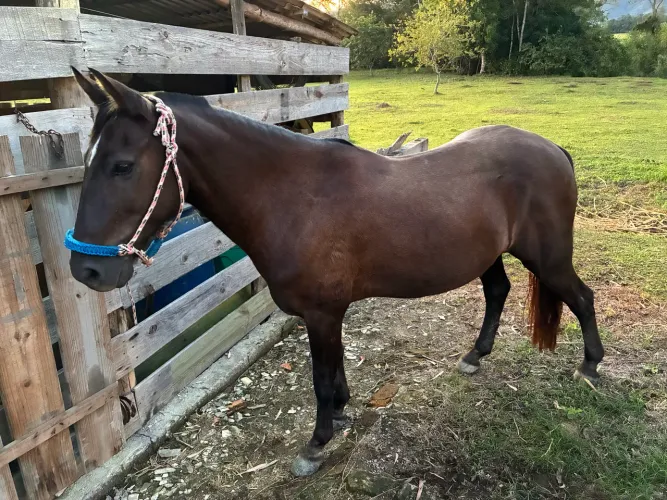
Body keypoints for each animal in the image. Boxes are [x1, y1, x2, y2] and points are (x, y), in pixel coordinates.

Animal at [66, 68, 604, 477]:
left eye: (121, 165)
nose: (85, 269)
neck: (294, 196)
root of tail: (553, 149)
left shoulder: (321, 313)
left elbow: (321, 379)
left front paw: (316, 444)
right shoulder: (328, 314)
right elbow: (337, 370)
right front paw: (343, 414)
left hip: (549, 259)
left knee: (582, 298)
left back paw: (590, 366)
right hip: (491, 255)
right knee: (498, 292)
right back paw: (475, 356)